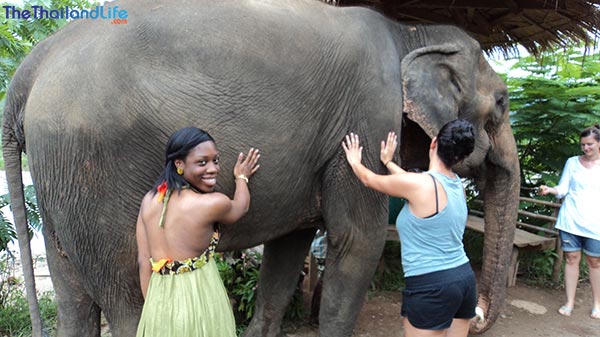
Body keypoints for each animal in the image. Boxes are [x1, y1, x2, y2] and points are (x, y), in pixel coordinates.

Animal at [2, 0, 520, 334]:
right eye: (502, 102)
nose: (476, 318)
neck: (410, 33)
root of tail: (30, 68)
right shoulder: (367, 115)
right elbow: (358, 240)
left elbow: (290, 247)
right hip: (95, 170)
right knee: (127, 295)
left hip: (61, 180)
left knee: (71, 295)